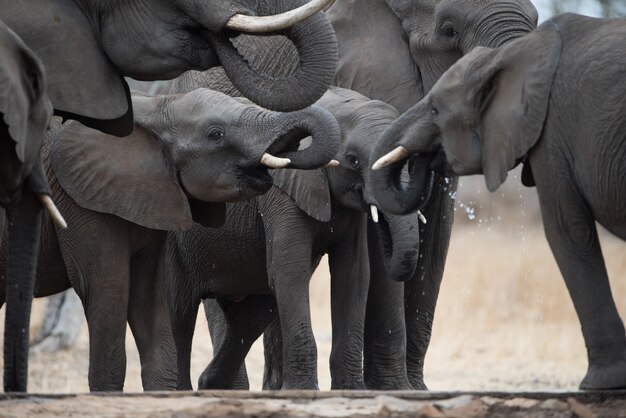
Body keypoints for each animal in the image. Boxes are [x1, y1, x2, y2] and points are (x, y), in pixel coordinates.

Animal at [163, 86, 422, 390]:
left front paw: (352, 391)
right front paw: (303, 391)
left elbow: (353, 276)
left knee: (251, 316)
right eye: (353, 159)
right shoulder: (281, 193)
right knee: (180, 313)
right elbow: (290, 271)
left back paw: (210, 384)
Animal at [368, 13, 624, 392]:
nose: (425, 158)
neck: (509, 55)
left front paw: (600, 384)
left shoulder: (552, 135)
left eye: (435, 108)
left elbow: (565, 230)